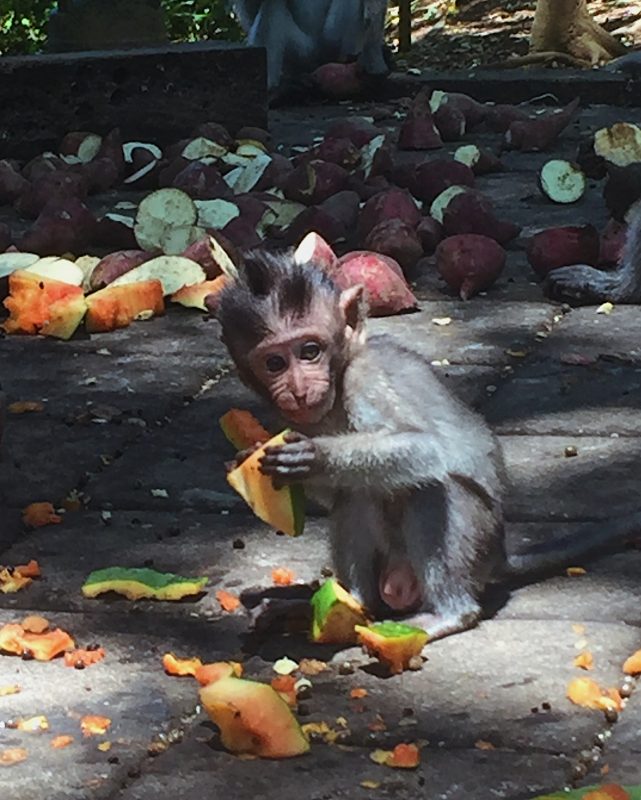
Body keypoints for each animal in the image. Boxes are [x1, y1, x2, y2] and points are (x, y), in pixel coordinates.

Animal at [216, 251, 637, 641]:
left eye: (310, 351)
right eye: (274, 363)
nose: (300, 389)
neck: (337, 385)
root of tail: (499, 554)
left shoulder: (365, 381)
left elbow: (424, 449)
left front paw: (315, 456)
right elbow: (336, 493)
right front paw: (252, 458)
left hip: (474, 542)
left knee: (429, 486)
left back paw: (448, 614)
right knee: (355, 495)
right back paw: (343, 604)